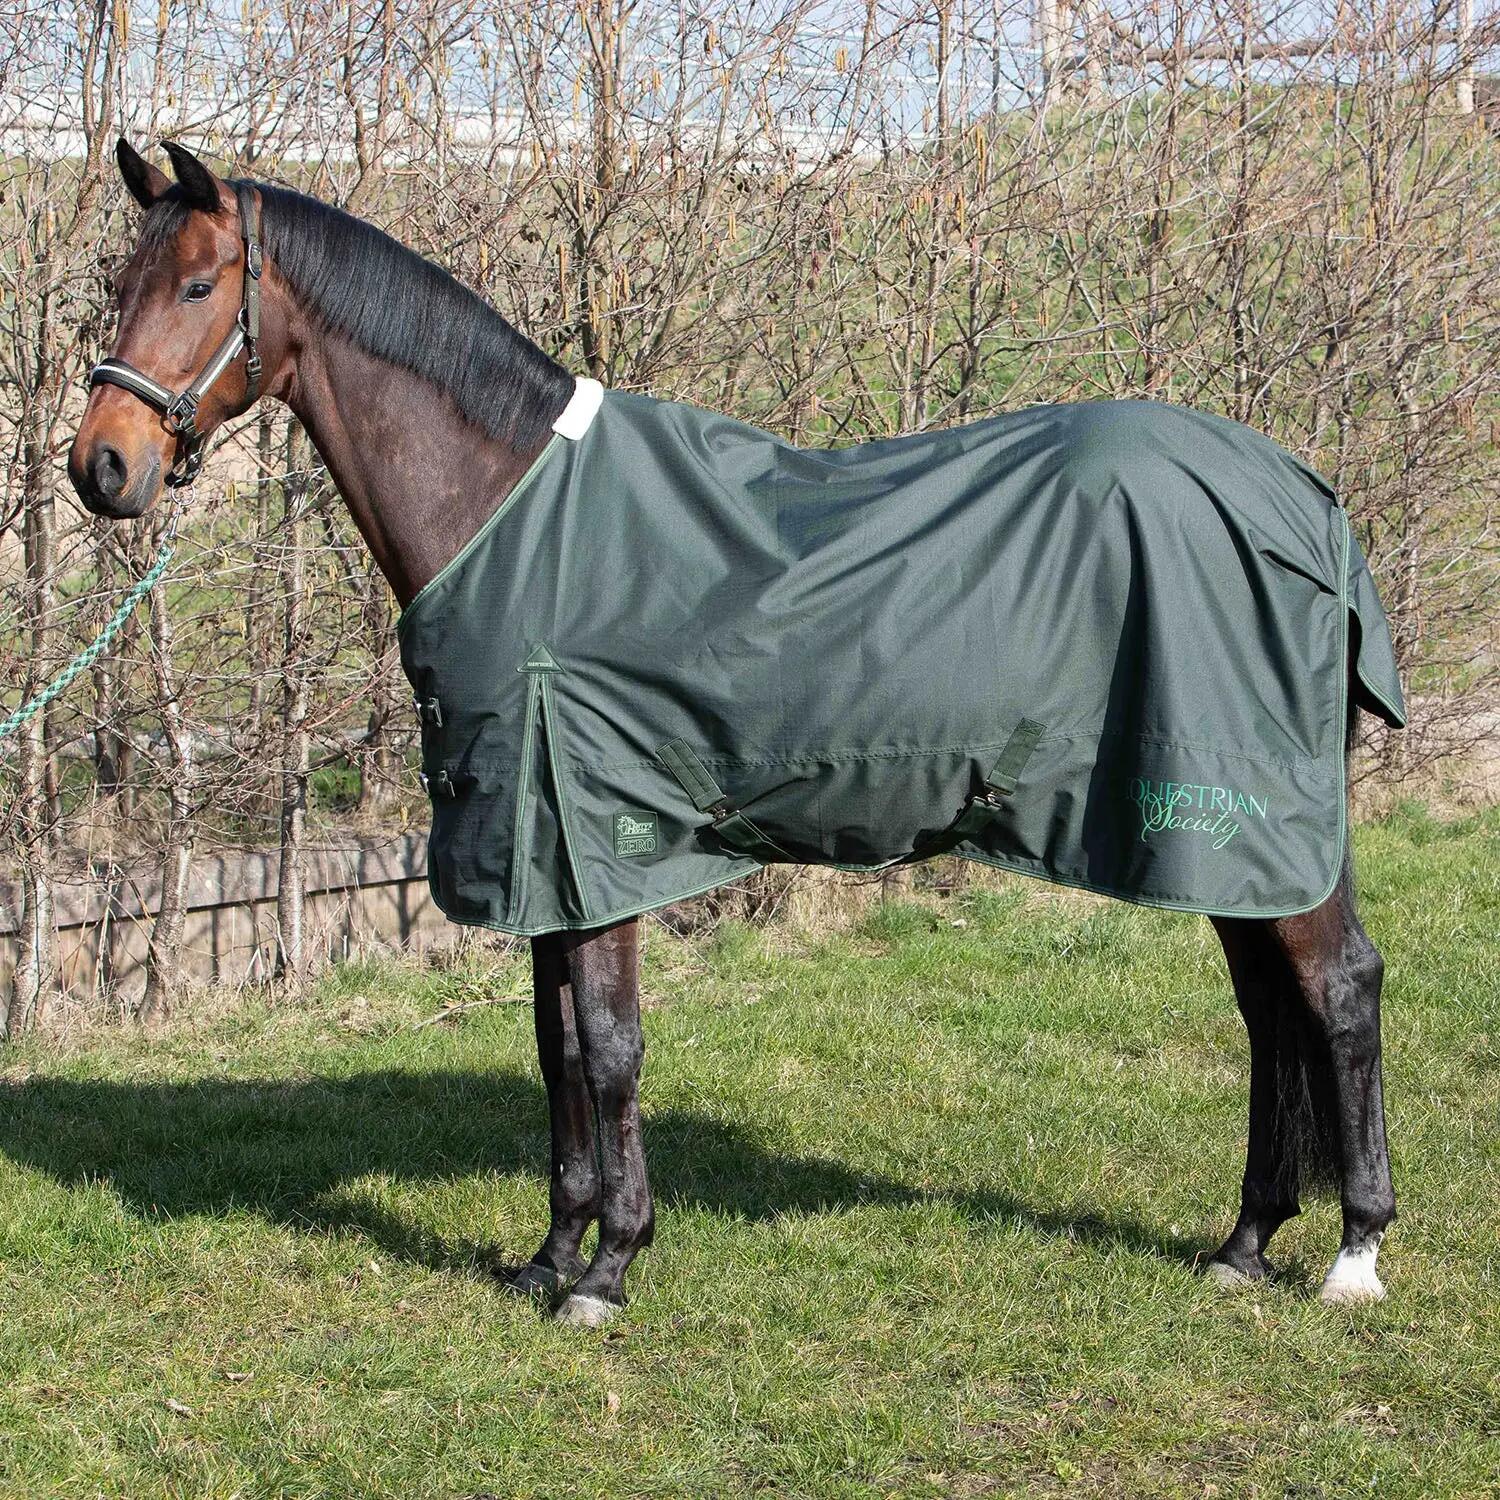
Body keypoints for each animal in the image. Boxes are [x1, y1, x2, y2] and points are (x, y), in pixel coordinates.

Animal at [68, 140, 1398, 1328]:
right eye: (117, 283)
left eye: (199, 286)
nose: (101, 468)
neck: (509, 510)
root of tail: (1304, 503)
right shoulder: (539, 854)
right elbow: (555, 1052)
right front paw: (551, 1256)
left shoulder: (593, 841)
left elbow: (609, 1048)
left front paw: (610, 1269)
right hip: (1214, 844)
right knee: (1268, 1012)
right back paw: (1243, 1244)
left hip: (1248, 819)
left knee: (1336, 989)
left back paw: (1354, 1254)